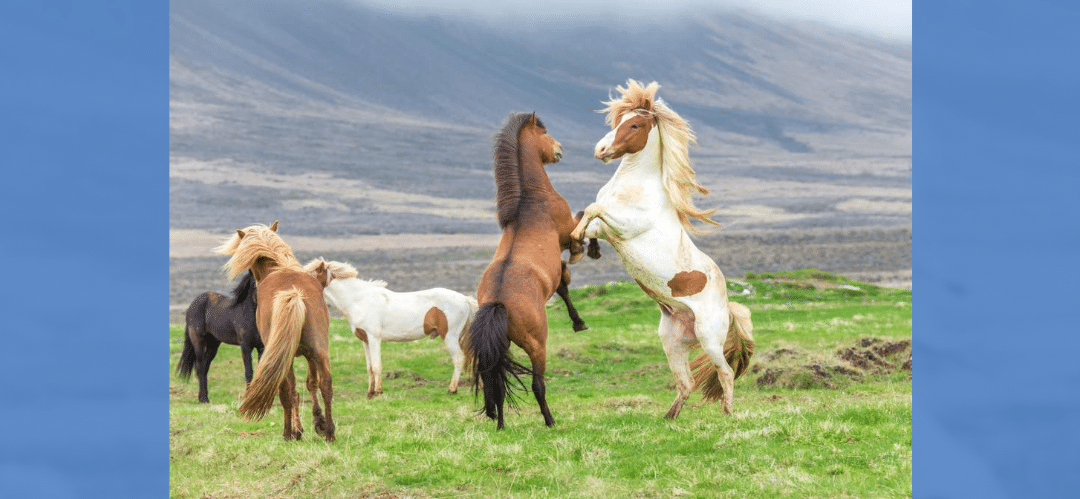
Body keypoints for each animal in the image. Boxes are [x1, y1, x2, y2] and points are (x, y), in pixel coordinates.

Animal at [176, 271, 264, 403]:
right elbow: (249, 372)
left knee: (205, 367)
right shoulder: (245, 346)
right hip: (198, 341)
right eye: (254, 283)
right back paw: (203, 399)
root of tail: (191, 306)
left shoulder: (261, 347)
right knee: (200, 366)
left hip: (213, 344)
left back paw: (203, 397)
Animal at [216, 220, 336, 442]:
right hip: (319, 349)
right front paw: (319, 423)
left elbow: (295, 391)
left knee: (286, 391)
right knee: (326, 385)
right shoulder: (310, 354)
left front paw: (300, 429)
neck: (279, 267)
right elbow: (311, 384)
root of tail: (293, 293)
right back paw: (330, 433)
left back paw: (288, 433)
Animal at [302, 261, 475, 397]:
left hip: (450, 337)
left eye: (310, 274)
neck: (359, 300)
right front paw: (370, 393)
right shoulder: (365, 341)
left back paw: (452, 389)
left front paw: (378, 392)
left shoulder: (374, 338)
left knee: (459, 359)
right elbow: (370, 368)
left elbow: (377, 365)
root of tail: (465, 299)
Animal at [466, 112, 578, 429]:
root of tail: (498, 303)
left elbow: (562, 282)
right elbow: (578, 238)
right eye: (544, 133)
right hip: (537, 344)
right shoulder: (567, 235)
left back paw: (501, 426)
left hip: (500, 349)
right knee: (538, 384)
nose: (559, 149)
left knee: (497, 386)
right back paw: (550, 421)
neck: (530, 201)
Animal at [570, 81, 756, 416]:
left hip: (709, 338)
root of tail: (728, 307)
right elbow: (584, 215)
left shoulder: (624, 227)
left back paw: (728, 413)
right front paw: (578, 243)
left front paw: (578, 242)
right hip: (672, 342)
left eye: (634, 124)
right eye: (617, 120)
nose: (600, 151)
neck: (635, 186)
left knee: (724, 372)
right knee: (686, 383)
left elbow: (592, 208)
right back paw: (668, 417)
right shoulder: (606, 229)